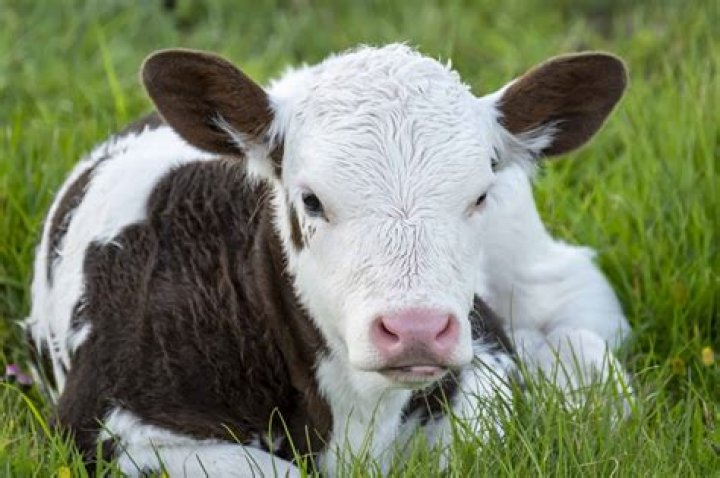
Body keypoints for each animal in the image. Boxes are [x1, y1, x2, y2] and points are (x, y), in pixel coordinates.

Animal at [23, 44, 631, 476]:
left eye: (480, 194)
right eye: (311, 199)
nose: (415, 329)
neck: (355, 415)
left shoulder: (484, 357)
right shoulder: (98, 423)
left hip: (532, 259)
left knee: (582, 317)